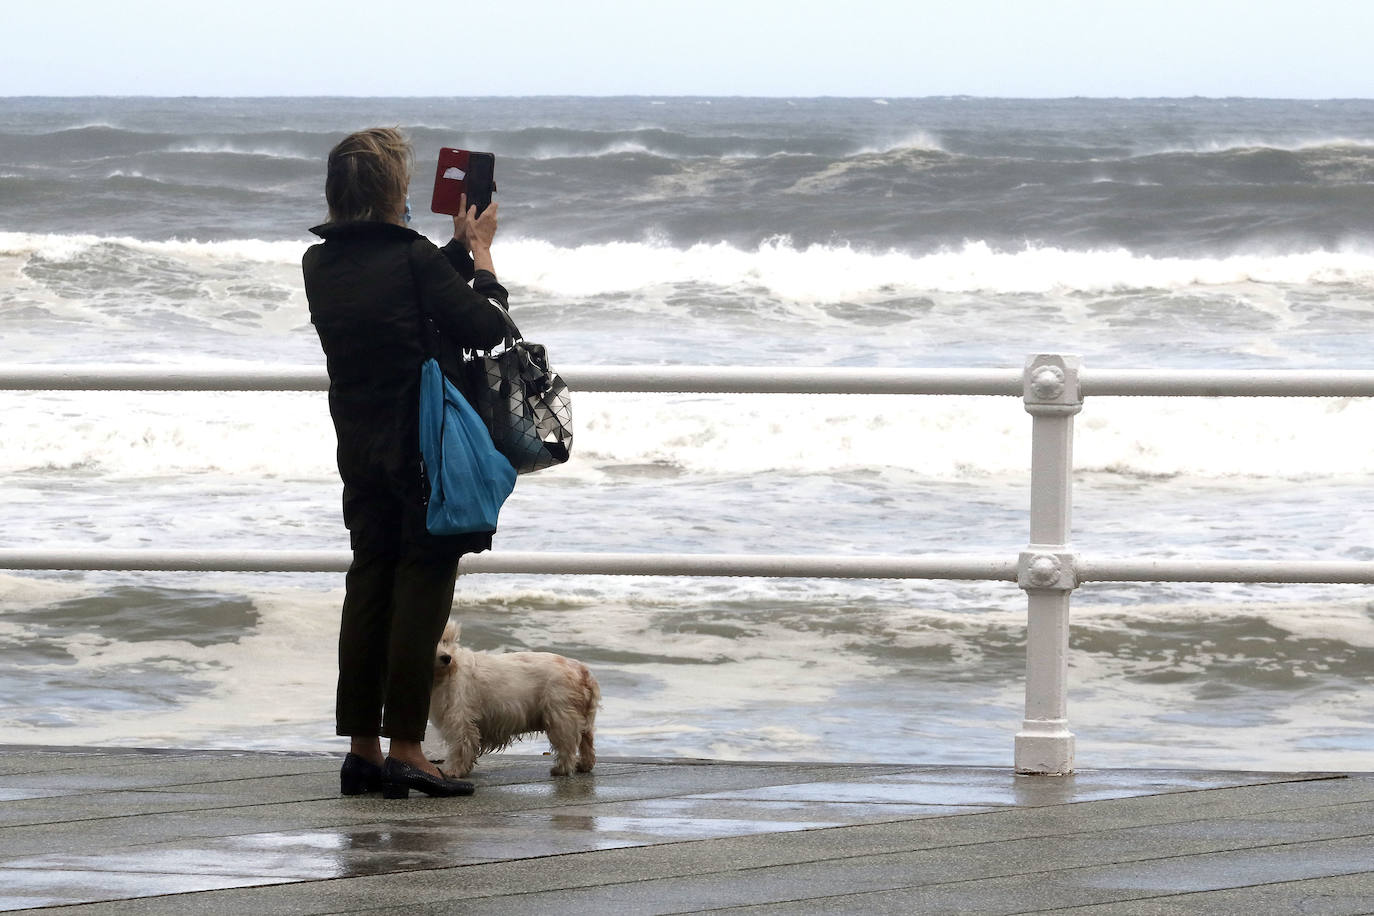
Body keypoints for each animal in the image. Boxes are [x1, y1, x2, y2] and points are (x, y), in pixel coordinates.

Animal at [428, 620, 601, 780]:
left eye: (445, 640)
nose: (447, 658)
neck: (445, 674)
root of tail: (582, 671)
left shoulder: (460, 721)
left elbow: (460, 747)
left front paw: (453, 771)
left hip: (560, 716)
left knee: (567, 746)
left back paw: (561, 769)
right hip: (581, 719)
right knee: (587, 742)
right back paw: (584, 765)